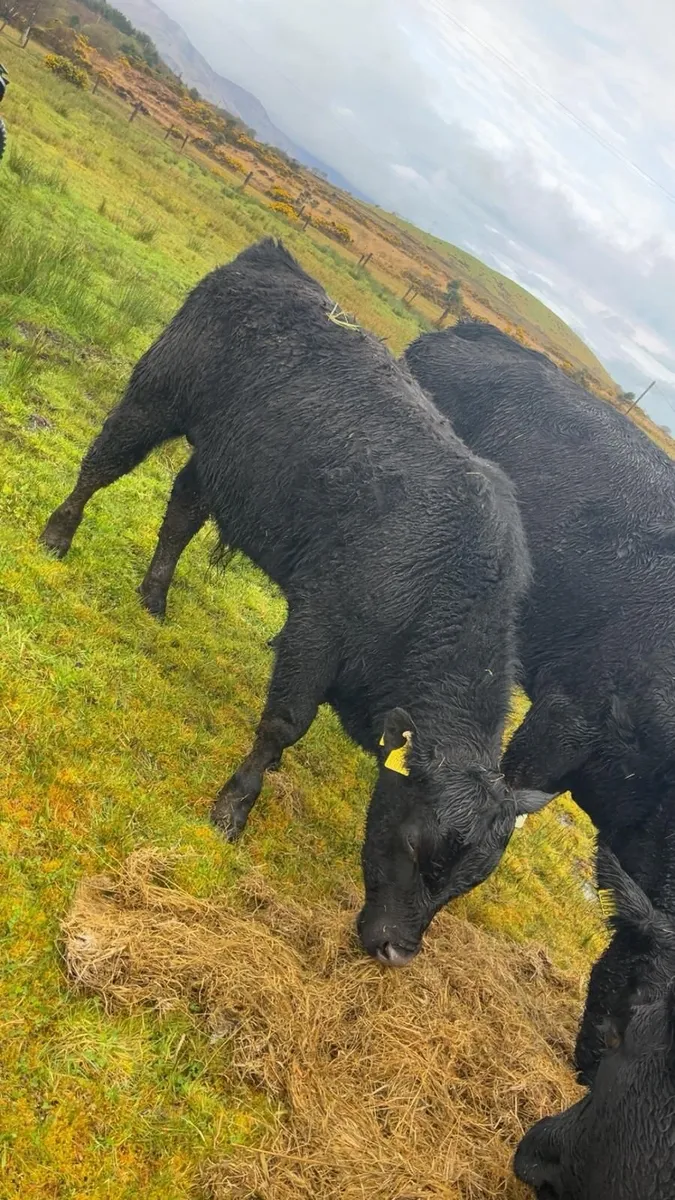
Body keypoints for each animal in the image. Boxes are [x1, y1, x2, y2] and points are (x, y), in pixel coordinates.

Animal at [40, 240, 545, 965]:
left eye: (466, 882)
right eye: (422, 849)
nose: (399, 952)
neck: (440, 584)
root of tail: (274, 260)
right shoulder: (318, 627)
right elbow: (284, 724)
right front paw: (231, 810)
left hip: (223, 460)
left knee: (182, 510)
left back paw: (154, 598)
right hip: (156, 394)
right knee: (102, 462)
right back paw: (57, 538)